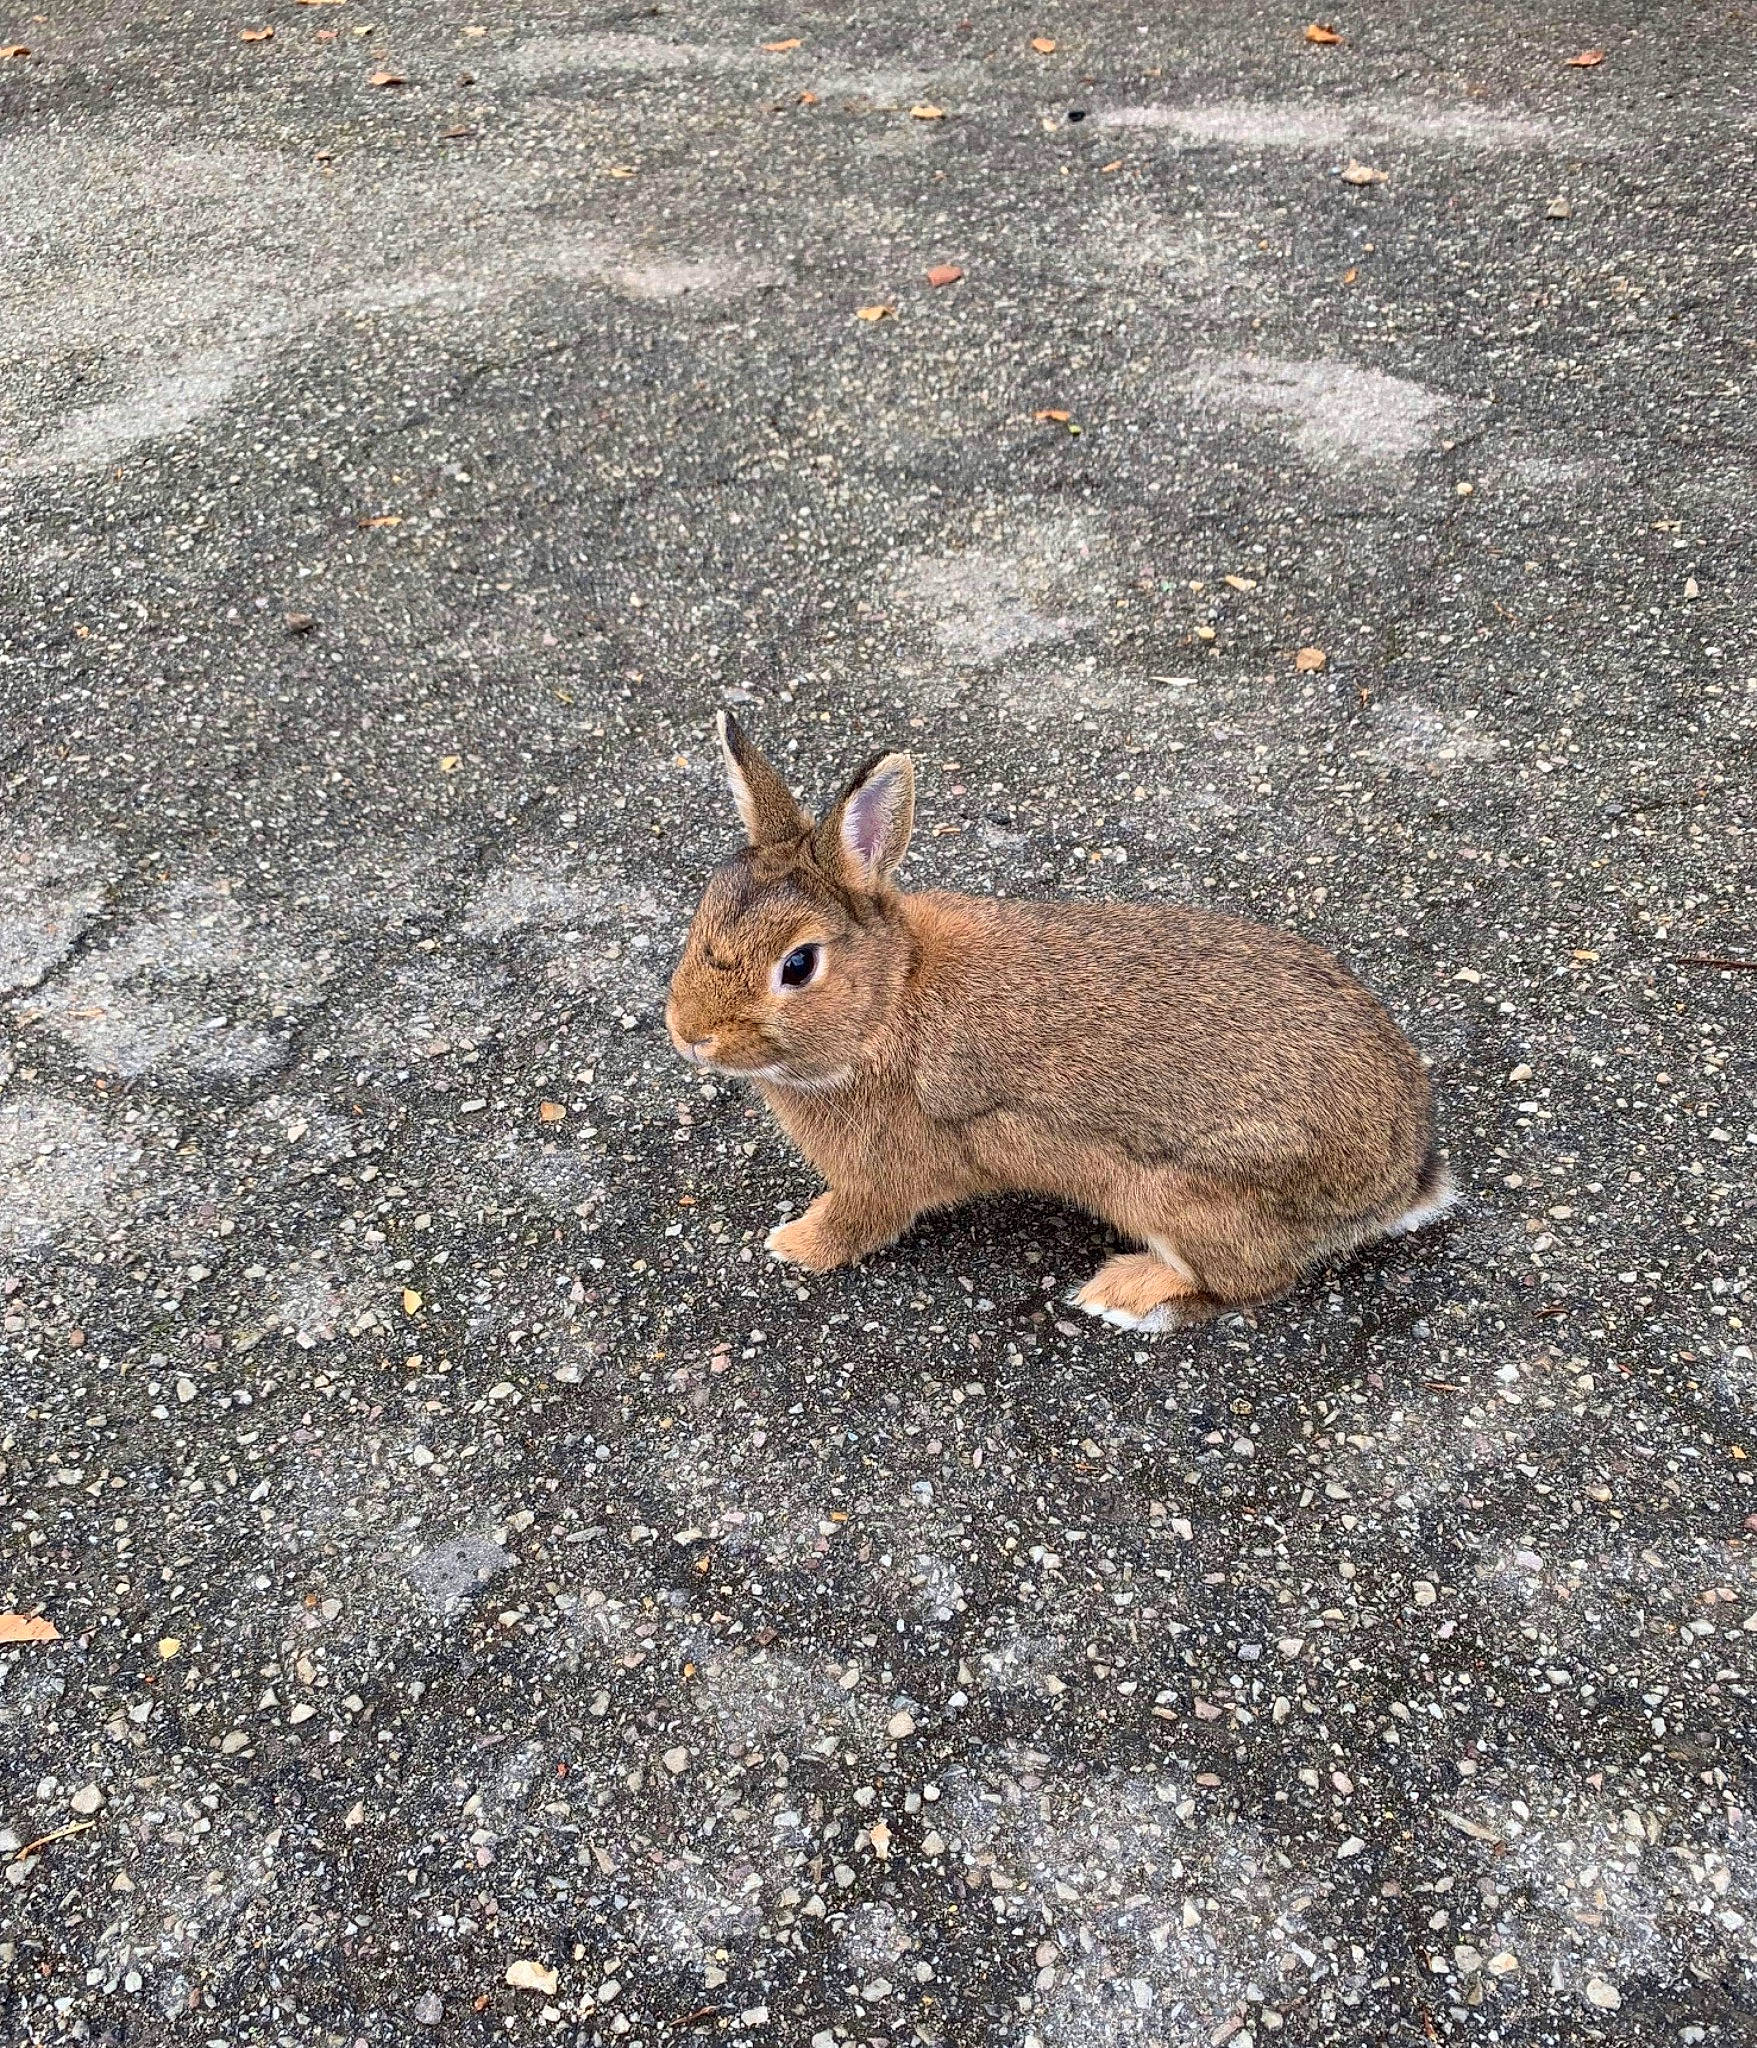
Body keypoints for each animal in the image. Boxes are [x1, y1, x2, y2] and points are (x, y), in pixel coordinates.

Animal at [665, 714, 1453, 1331]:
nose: (689, 1034)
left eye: (798, 965)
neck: (889, 999)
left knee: (1250, 1282)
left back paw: (1123, 1294)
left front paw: (794, 1244)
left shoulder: (882, 1176)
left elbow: (859, 1220)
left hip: (1191, 1200)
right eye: (703, 911)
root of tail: (1402, 1181)